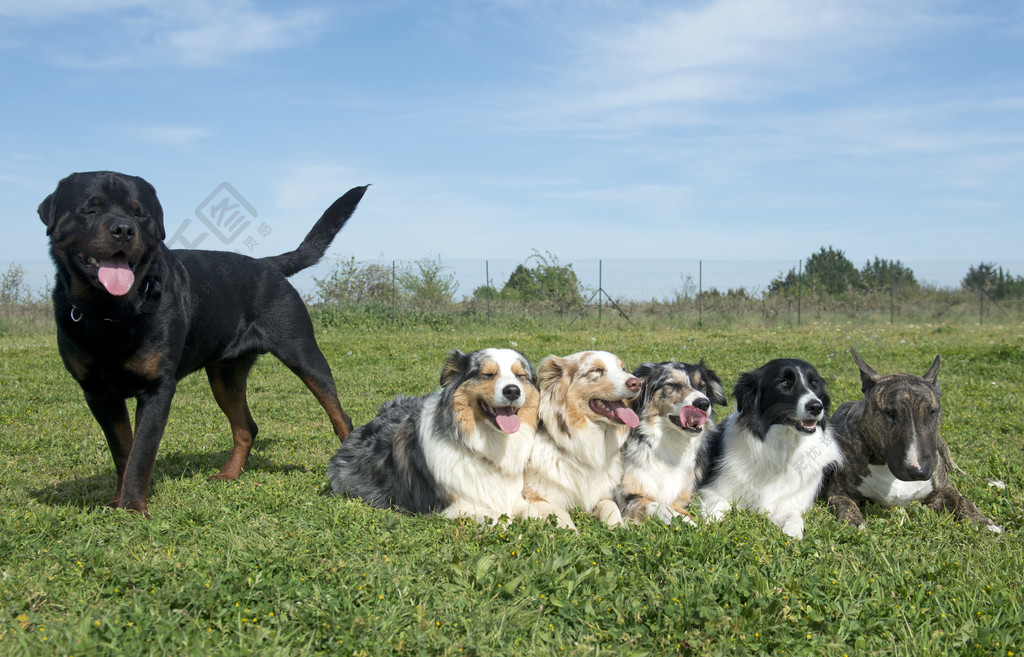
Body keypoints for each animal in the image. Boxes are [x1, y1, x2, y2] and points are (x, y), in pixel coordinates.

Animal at [40, 167, 368, 511]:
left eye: (139, 214)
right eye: (90, 210)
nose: (123, 230)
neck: (112, 314)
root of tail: (266, 263)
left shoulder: (158, 388)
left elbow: (141, 452)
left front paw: (132, 507)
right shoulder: (98, 393)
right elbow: (123, 451)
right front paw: (120, 501)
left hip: (303, 352)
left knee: (339, 416)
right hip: (225, 375)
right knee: (246, 428)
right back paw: (229, 474)